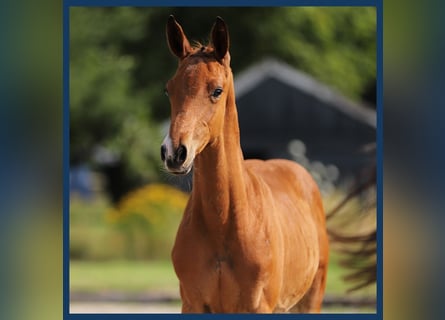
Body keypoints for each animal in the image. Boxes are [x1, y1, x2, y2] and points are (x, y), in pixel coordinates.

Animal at [161, 15, 328, 312]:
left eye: (217, 90)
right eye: (169, 90)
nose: (174, 152)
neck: (225, 224)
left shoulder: (258, 306)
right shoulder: (192, 303)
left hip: (311, 298)